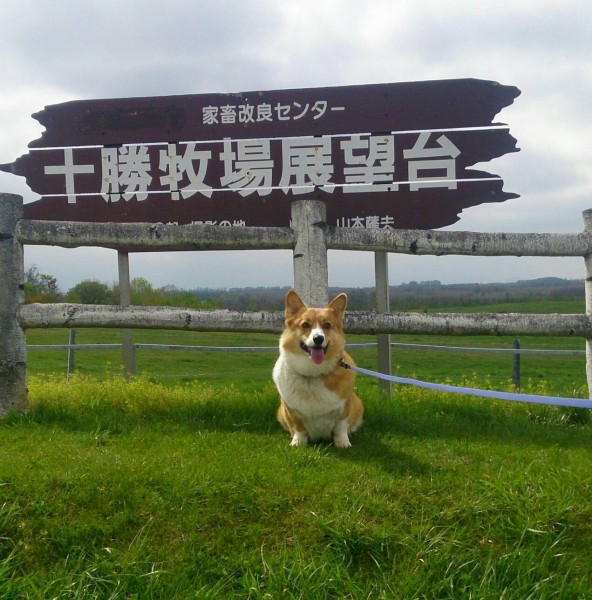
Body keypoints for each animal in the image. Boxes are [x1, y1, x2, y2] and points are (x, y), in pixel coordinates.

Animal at [274, 288, 366, 448]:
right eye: (305, 325)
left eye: (327, 325)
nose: (318, 339)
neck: (312, 373)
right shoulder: (291, 410)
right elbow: (298, 428)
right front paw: (298, 443)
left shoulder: (344, 407)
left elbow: (340, 427)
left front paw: (343, 443)